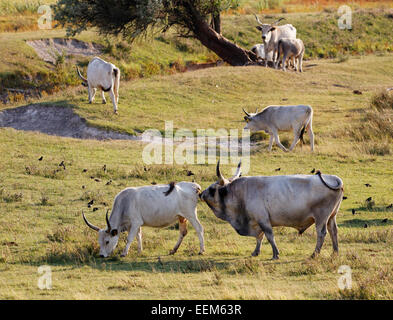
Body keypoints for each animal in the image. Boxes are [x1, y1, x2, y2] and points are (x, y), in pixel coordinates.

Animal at [201, 162, 342, 260]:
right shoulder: (258, 221)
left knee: (322, 234)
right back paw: (335, 253)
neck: (240, 193)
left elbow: (269, 236)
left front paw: (275, 254)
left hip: (321, 218)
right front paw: (256, 252)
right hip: (331, 217)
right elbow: (260, 237)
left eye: (212, 189)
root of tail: (334, 178)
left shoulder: (263, 220)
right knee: (333, 231)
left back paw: (314, 254)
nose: (201, 194)